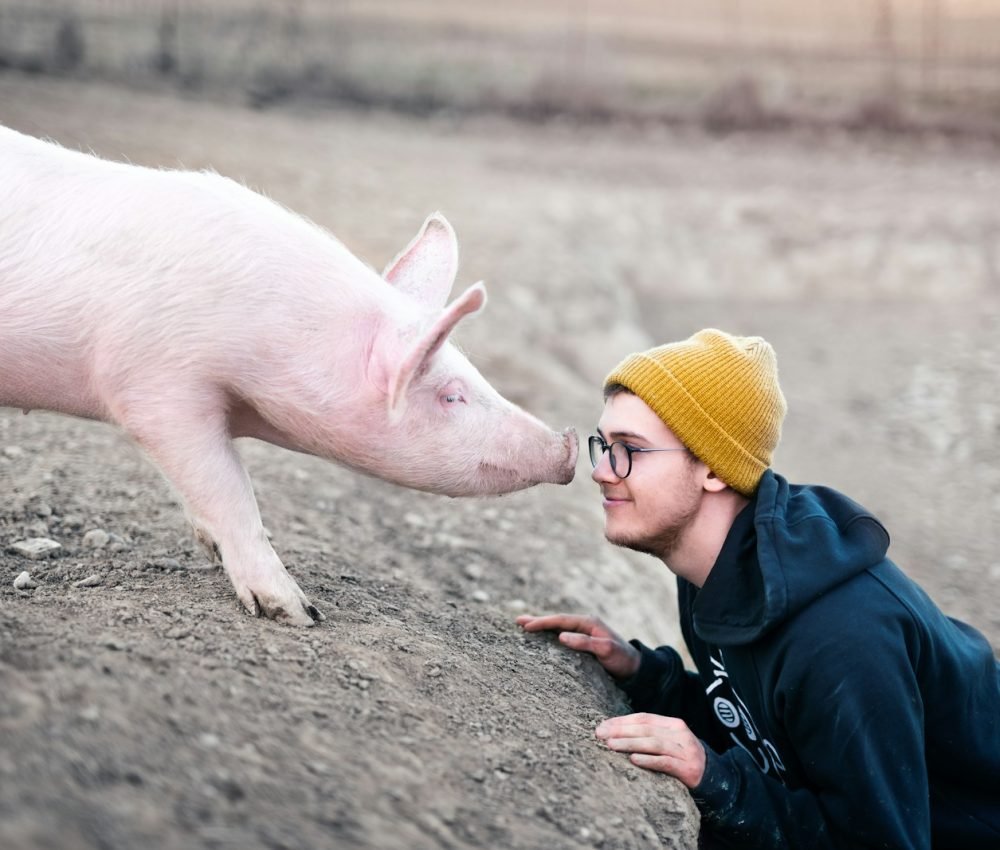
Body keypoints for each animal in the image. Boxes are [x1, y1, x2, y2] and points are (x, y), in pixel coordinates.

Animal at [1, 124, 580, 624]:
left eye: (473, 372)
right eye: (451, 395)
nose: (569, 445)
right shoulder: (155, 383)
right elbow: (229, 489)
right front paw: (299, 613)